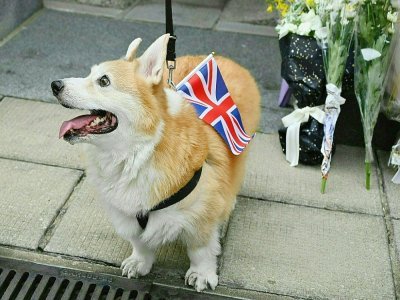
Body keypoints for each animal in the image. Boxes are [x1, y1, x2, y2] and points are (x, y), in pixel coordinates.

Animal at [51, 34, 260, 292]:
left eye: (104, 81)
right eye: (90, 74)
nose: (55, 85)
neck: (138, 152)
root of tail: (226, 59)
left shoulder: (201, 217)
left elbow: (200, 250)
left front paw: (202, 274)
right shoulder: (127, 214)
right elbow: (140, 243)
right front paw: (139, 262)